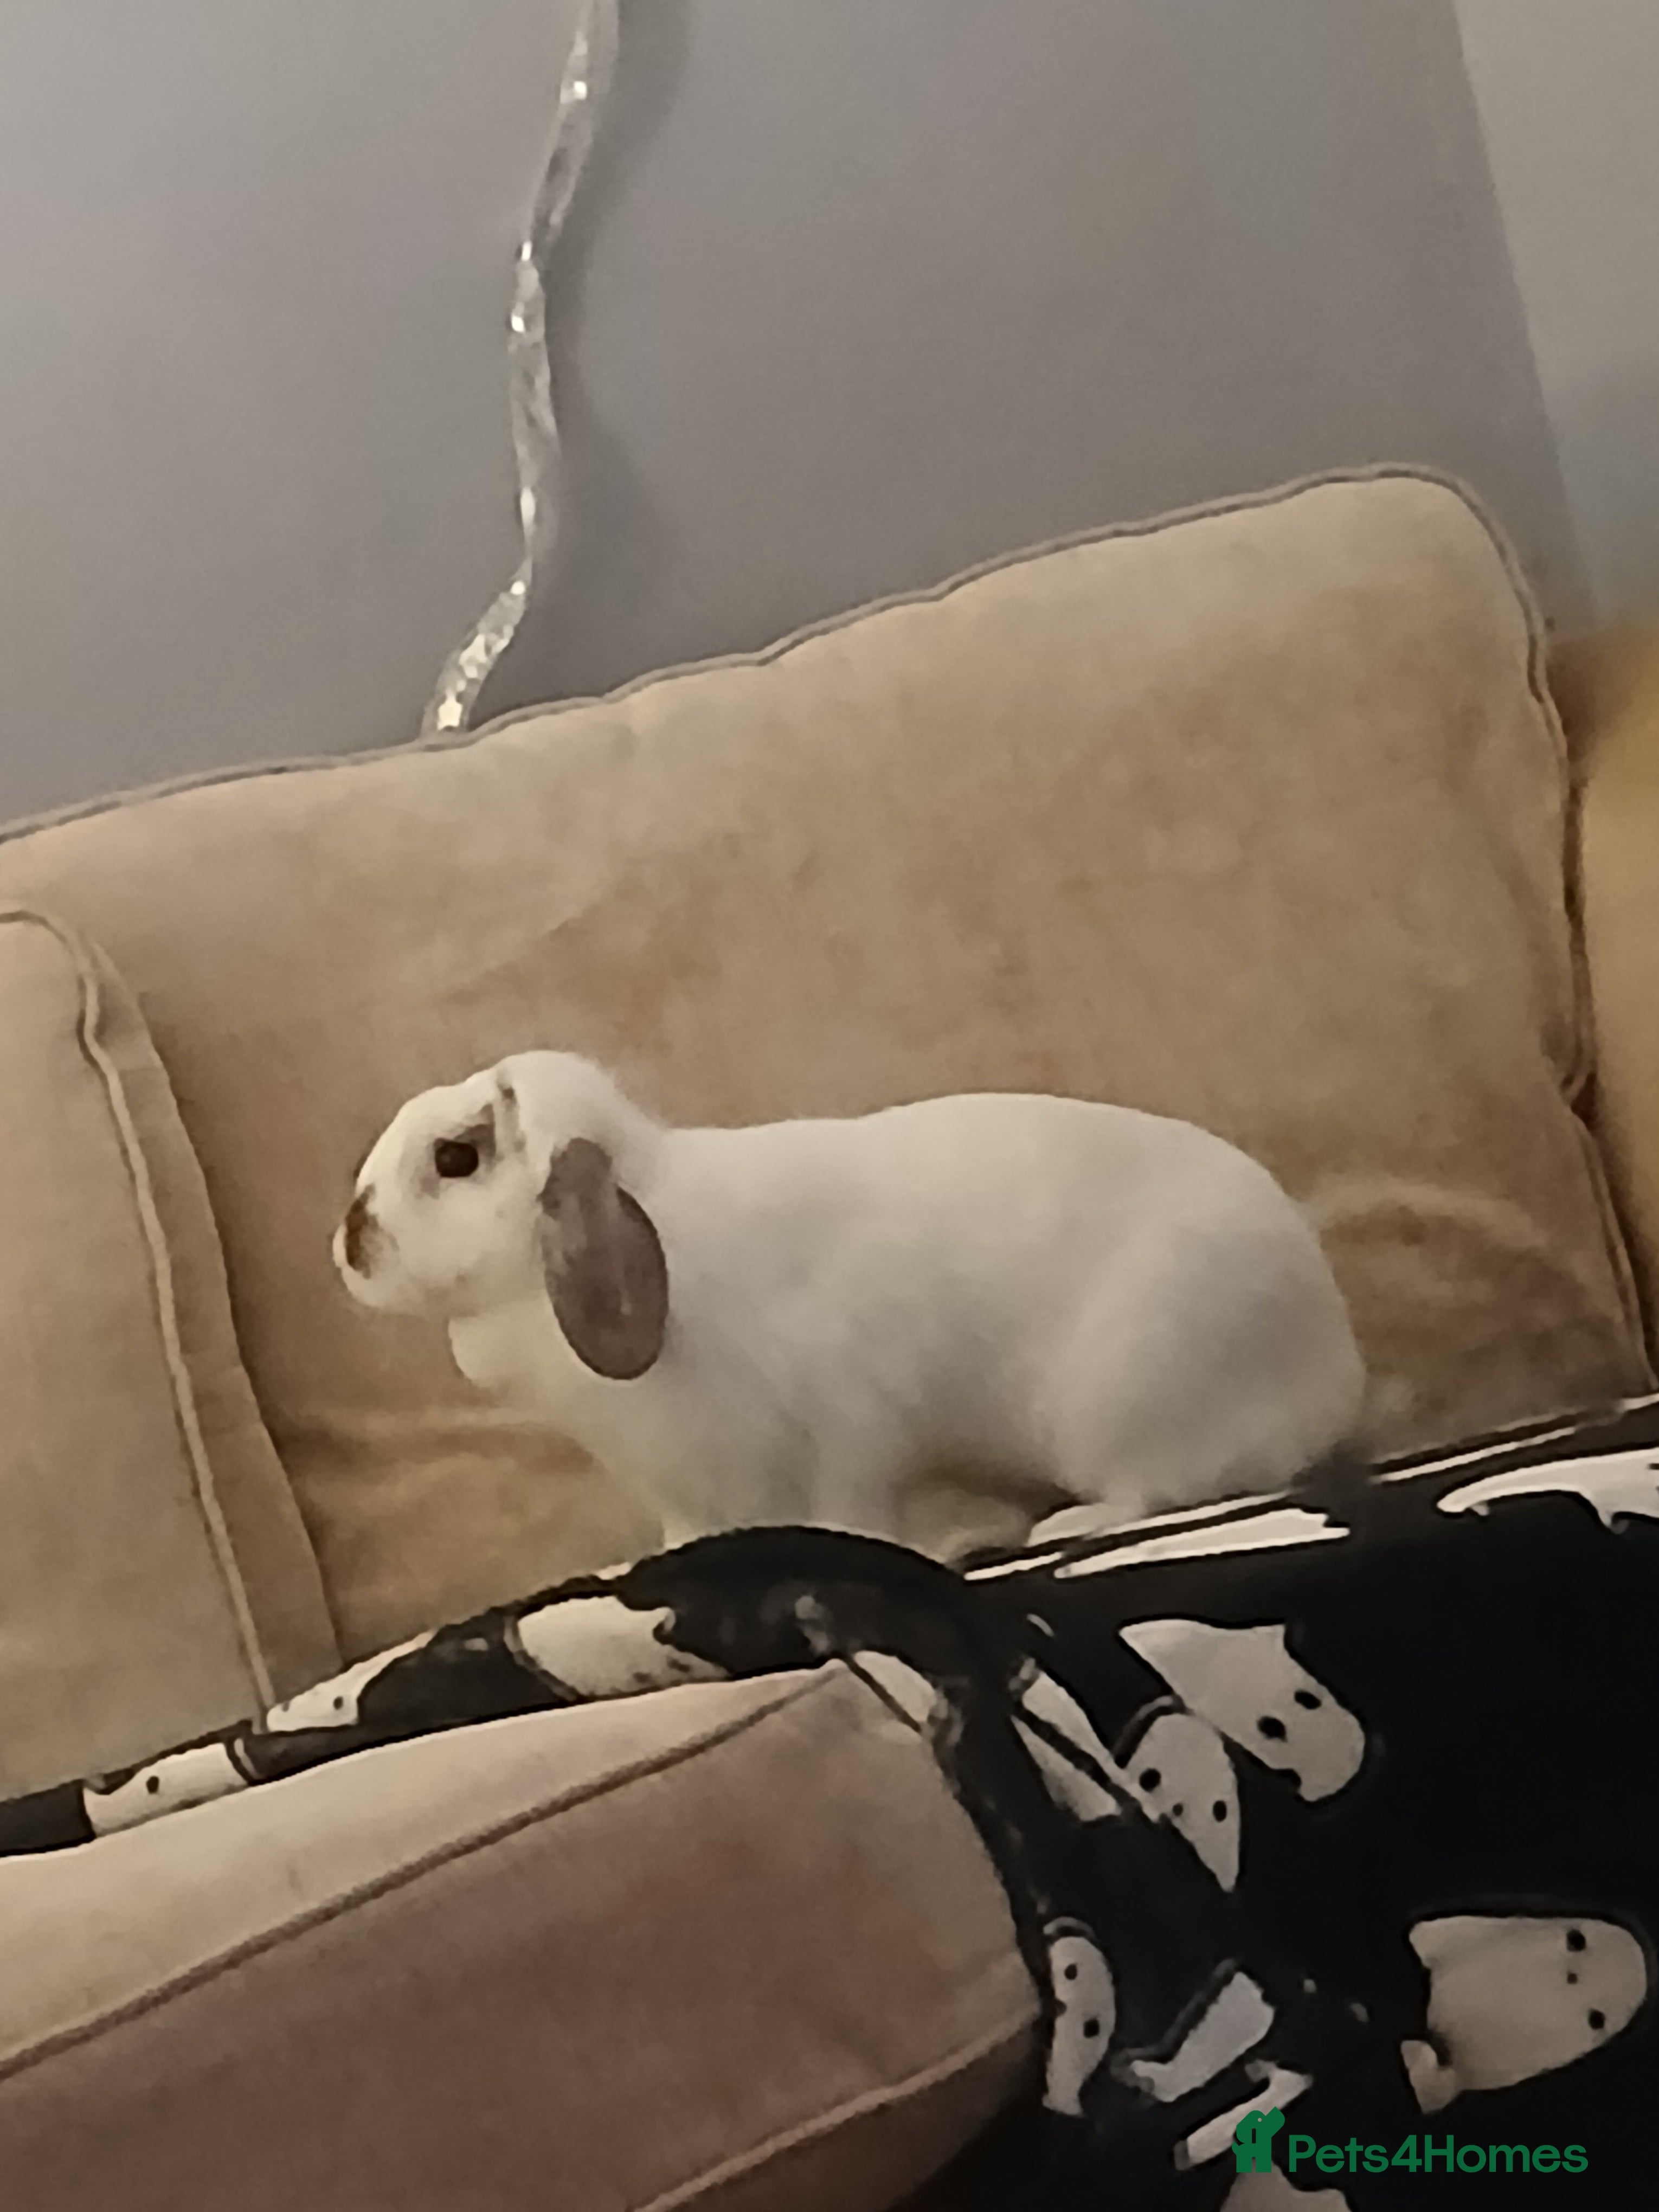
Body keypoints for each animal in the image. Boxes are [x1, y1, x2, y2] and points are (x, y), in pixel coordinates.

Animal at [334, 1051, 1365, 1556]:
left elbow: (848, 1511)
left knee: (1156, 1489)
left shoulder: (844, 1429)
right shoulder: (684, 1492)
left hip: (1127, 1394)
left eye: (455, 1158)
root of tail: (1331, 1378)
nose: (349, 1243)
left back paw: (1060, 1528)